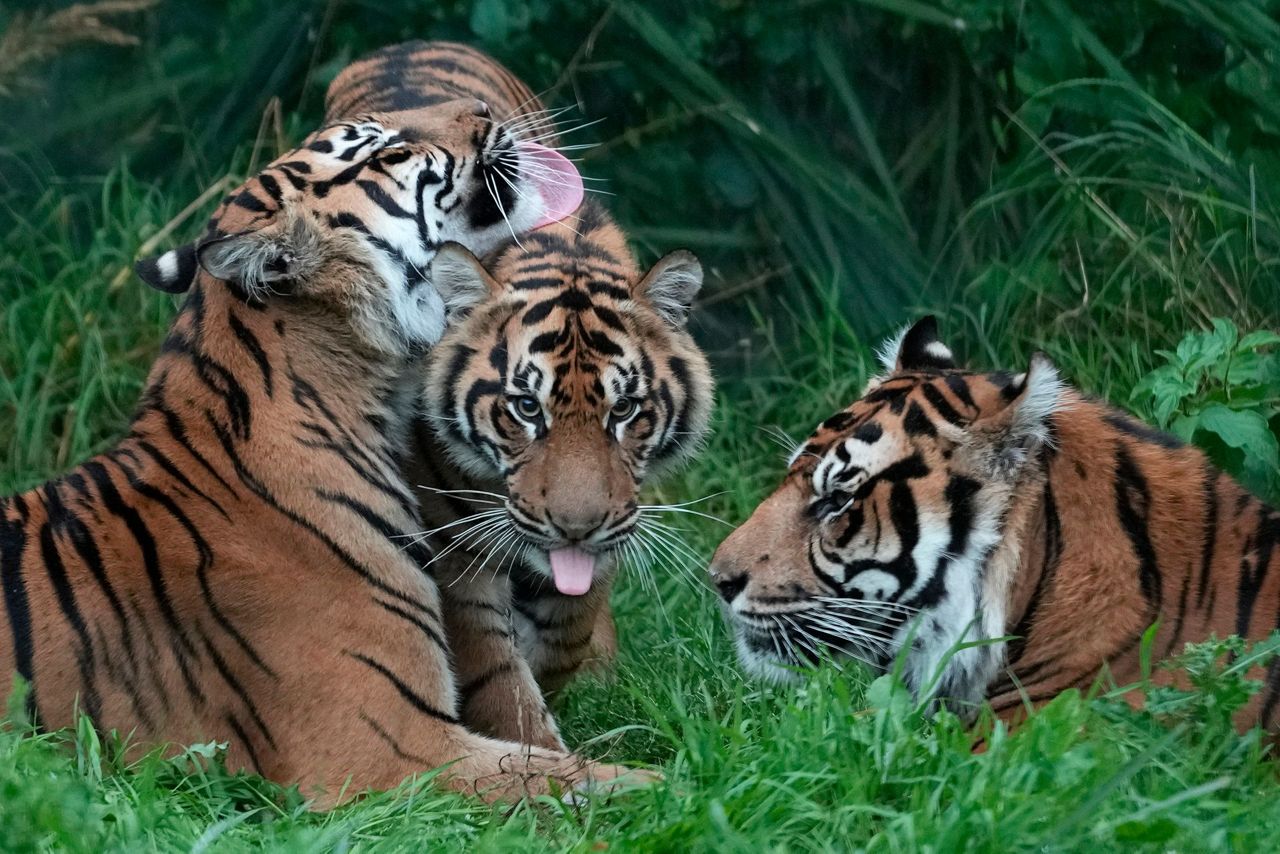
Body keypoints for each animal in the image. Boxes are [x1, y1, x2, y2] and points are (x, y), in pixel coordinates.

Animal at [407, 197, 716, 750]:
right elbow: (498, 677)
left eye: (624, 409)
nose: (576, 527)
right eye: (527, 407)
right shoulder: (455, 551)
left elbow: (566, 633)